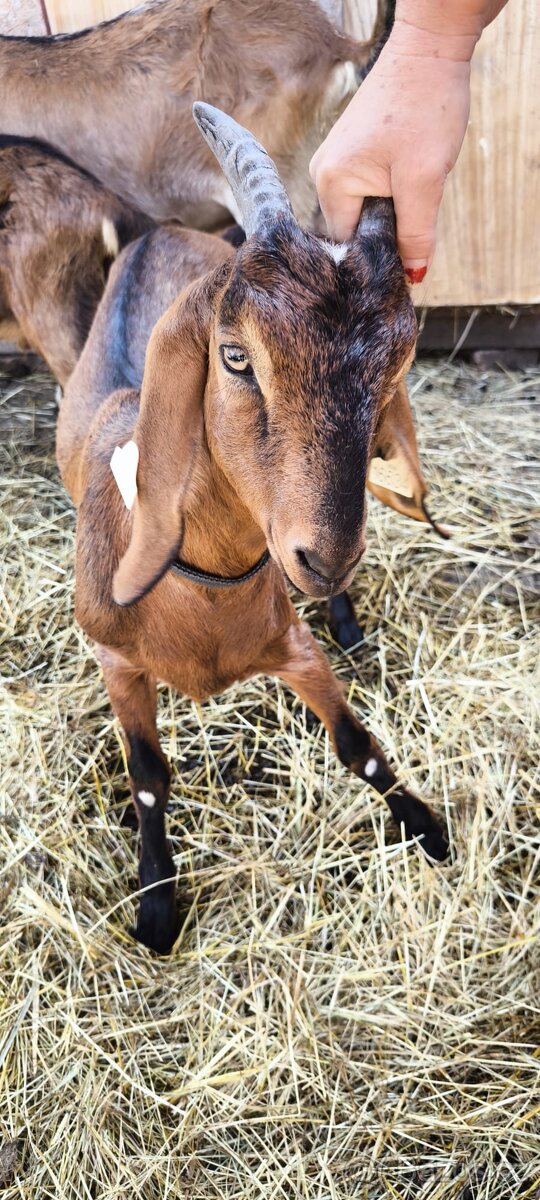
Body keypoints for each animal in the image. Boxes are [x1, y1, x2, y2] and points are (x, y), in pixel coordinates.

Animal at [57, 105, 446, 955]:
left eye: (395, 370)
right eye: (235, 357)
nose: (325, 555)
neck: (201, 588)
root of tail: (162, 230)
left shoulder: (290, 644)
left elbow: (357, 744)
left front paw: (426, 825)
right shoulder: (116, 662)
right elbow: (147, 779)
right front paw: (157, 906)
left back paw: (348, 620)